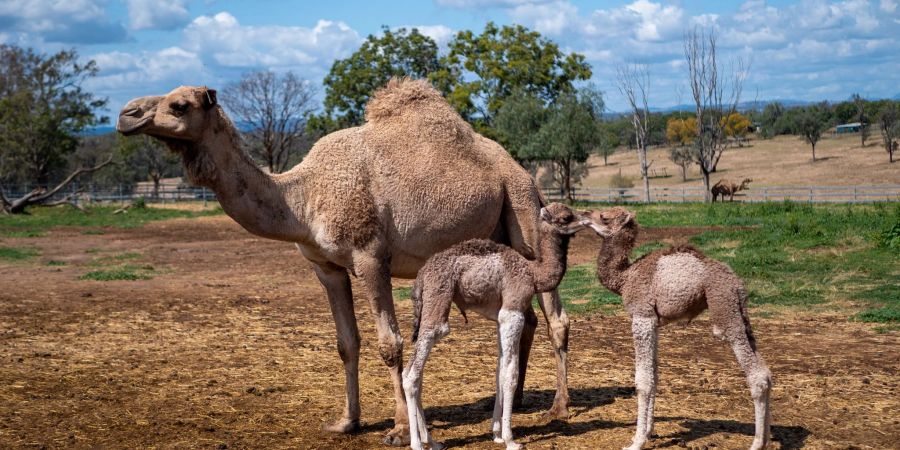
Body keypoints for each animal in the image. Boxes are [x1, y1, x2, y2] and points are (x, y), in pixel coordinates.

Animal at [400, 205, 584, 450]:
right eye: (566, 217)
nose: (586, 219)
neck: (533, 274)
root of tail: (421, 276)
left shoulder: (500, 319)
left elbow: (499, 371)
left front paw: (496, 434)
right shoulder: (512, 311)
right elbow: (510, 374)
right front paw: (510, 439)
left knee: (416, 373)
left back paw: (433, 441)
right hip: (437, 302)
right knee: (412, 373)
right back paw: (417, 443)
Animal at [584, 207, 772, 450]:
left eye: (604, 217)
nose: (585, 214)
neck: (625, 277)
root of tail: (737, 284)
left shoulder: (642, 317)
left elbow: (643, 380)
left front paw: (636, 441)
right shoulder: (654, 323)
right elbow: (654, 374)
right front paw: (649, 432)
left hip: (724, 306)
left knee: (755, 373)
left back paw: (756, 443)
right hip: (739, 311)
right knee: (765, 371)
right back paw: (765, 438)